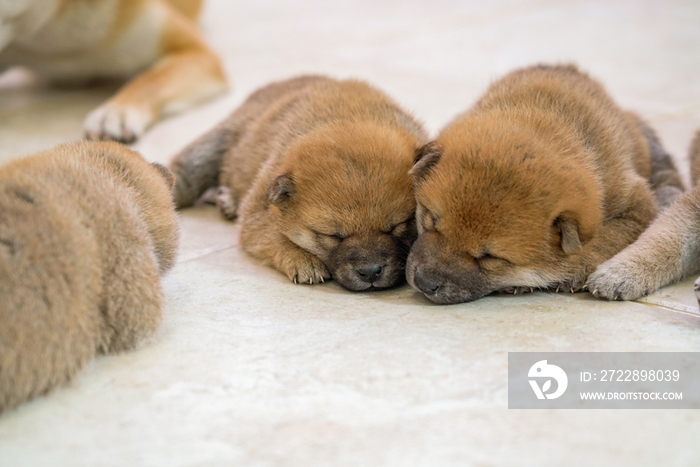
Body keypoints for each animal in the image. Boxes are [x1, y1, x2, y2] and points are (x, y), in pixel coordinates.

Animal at [404, 66, 684, 308]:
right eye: (430, 222)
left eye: (490, 257)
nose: (424, 283)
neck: (545, 118)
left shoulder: (635, 205)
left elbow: (607, 237)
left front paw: (573, 269)